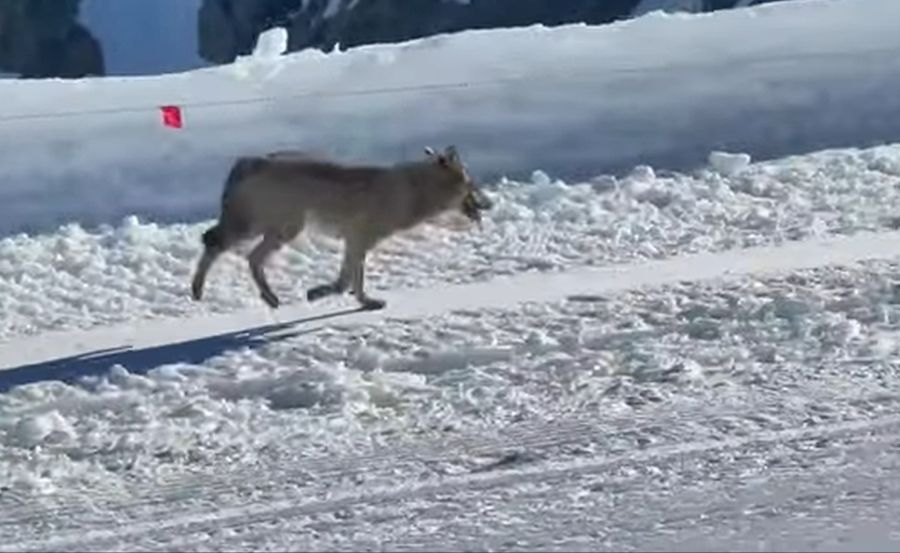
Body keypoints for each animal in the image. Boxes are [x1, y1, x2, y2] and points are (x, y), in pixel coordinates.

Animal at [190, 145, 493, 311]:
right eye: (473, 185)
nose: (491, 203)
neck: (416, 191)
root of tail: (248, 161)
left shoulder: (357, 243)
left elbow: (355, 281)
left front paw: (365, 302)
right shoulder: (359, 240)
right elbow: (344, 281)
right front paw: (317, 293)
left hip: (280, 231)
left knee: (248, 257)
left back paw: (269, 297)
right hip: (268, 228)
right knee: (215, 243)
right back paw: (198, 290)